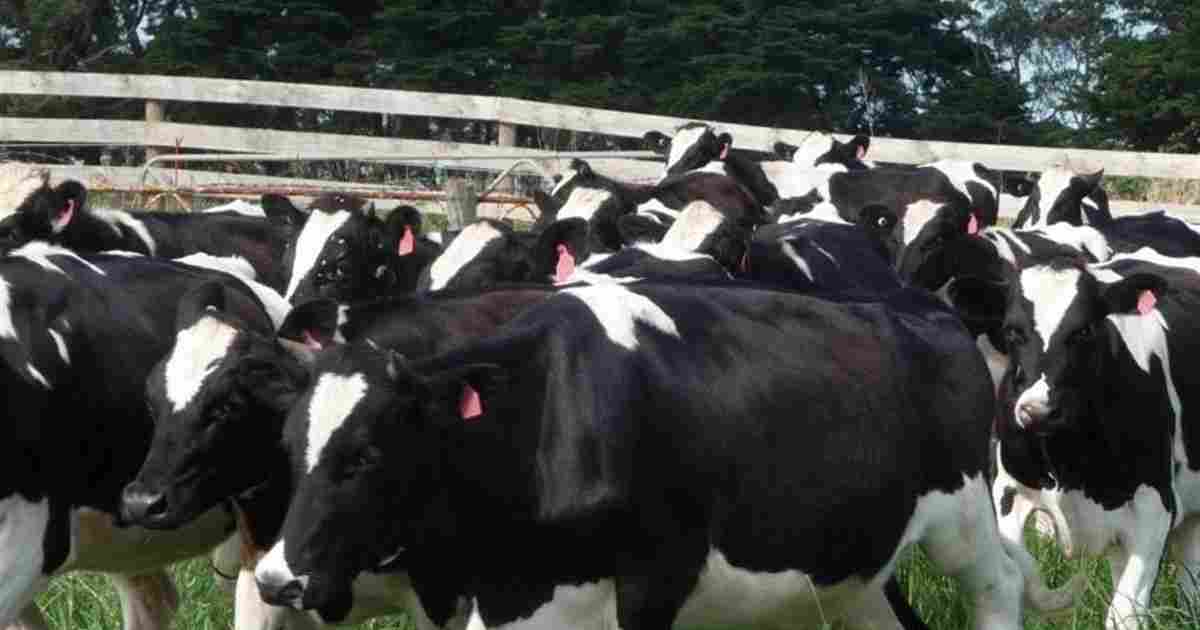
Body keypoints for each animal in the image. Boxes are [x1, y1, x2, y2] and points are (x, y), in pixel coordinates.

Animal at [255, 282, 1077, 630]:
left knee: (998, 585)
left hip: (962, 517)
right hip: (850, 562)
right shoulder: (512, 597)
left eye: (364, 455)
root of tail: (935, 313)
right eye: (288, 449)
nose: (275, 579)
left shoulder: (652, 580)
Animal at [995, 249, 1200, 629]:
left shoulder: (1156, 507)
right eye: (1012, 331)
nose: (1038, 411)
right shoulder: (1008, 490)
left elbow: (1125, 614)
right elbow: (1025, 577)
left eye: (1084, 330)